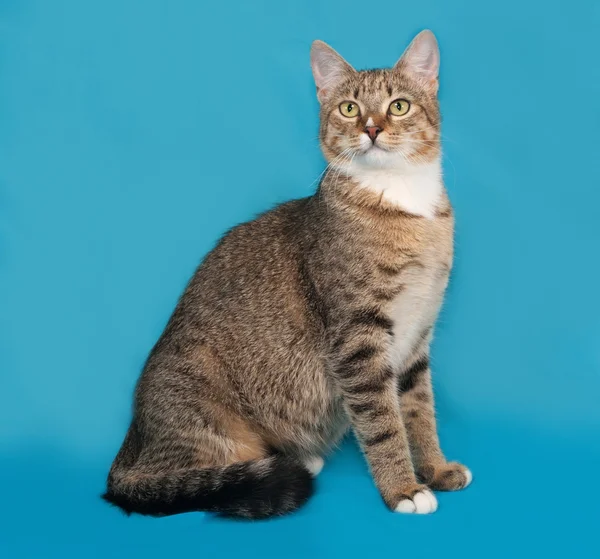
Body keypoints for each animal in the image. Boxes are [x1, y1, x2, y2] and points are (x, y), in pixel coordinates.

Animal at [104, 30, 474, 520]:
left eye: (398, 106)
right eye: (350, 108)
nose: (372, 129)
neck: (403, 202)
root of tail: (132, 438)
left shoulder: (417, 338)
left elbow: (419, 411)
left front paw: (434, 468)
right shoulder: (356, 340)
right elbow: (383, 422)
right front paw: (402, 488)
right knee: (179, 476)